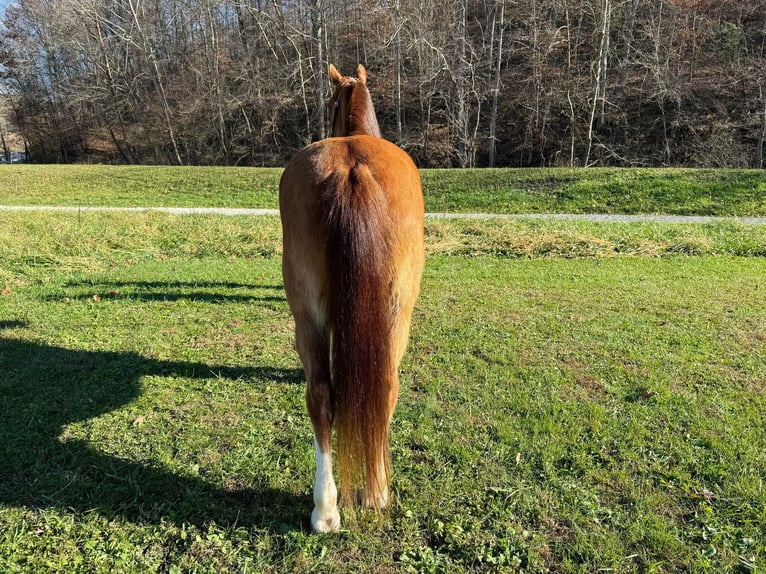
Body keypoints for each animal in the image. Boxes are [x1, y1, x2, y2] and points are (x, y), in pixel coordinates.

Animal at [280, 64, 426, 536]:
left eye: (329, 105)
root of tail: (351, 167)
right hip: (398, 314)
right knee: (386, 388)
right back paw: (374, 493)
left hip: (309, 315)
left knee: (322, 396)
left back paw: (326, 510)